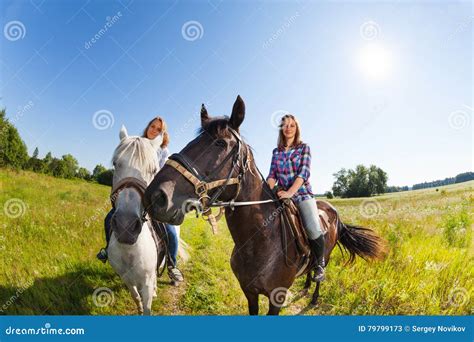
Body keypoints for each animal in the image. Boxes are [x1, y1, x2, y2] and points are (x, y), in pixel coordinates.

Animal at [106, 125, 179, 316]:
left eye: (154, 170)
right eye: (115, 163)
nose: (125, 226)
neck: (129, 249)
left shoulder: (146, 281)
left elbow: (147, 305)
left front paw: (151, 297)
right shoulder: (126, 279)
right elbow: (135, 297)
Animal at [143, 96, 386, 316]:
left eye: (220, 143)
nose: (156, 196)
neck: (258, 239)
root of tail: (332, 210)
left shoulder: (276, 298)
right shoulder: (249, 293)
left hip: (326, 254)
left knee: (320, 270)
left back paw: (315, 295)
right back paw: (306, 285)